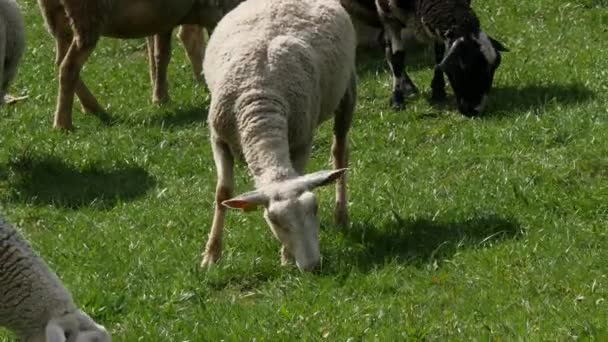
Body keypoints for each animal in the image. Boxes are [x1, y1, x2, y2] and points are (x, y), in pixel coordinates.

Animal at [202, 0, 358, 272]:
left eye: (315, 208)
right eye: (274, 220)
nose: (312, 267)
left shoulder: (302, 139)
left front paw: (286, 258)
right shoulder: (218, 139)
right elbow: (222, 193)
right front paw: (211, 255)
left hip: (347, 89)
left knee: (339, 153)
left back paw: (341, 216)